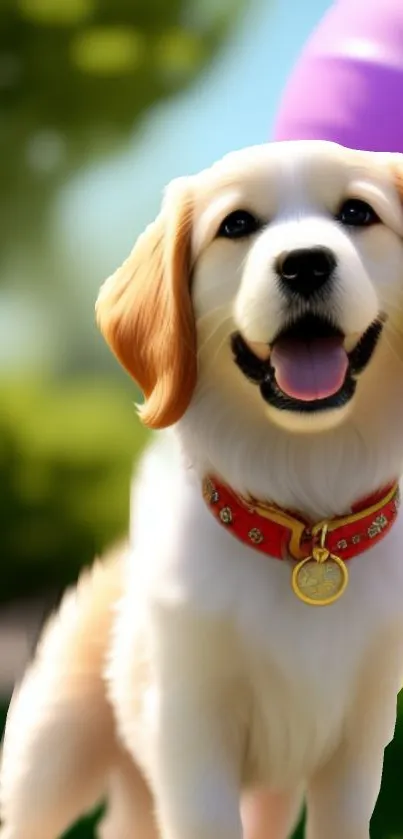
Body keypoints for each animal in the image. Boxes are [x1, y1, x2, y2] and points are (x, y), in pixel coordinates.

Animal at [2, 139, 403, 839]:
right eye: (236, 225)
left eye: (359, 212)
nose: (304, 264)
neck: (306, 524)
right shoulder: (189, 732)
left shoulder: (358, 740)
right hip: (51, 753)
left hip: (246, 792)